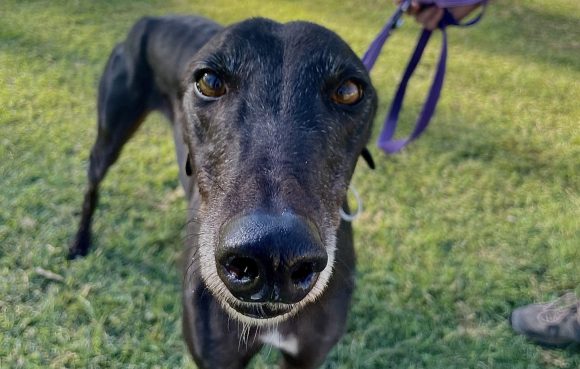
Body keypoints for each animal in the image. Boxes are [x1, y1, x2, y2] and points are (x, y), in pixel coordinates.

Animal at [69, 15, 376, 368]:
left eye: (348, 91)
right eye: (210, 81)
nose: (274, 255)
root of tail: (151, 18)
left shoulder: (305, 357)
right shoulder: (216, 357)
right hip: (109, 137)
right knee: (92, 185)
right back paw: (79, 242)